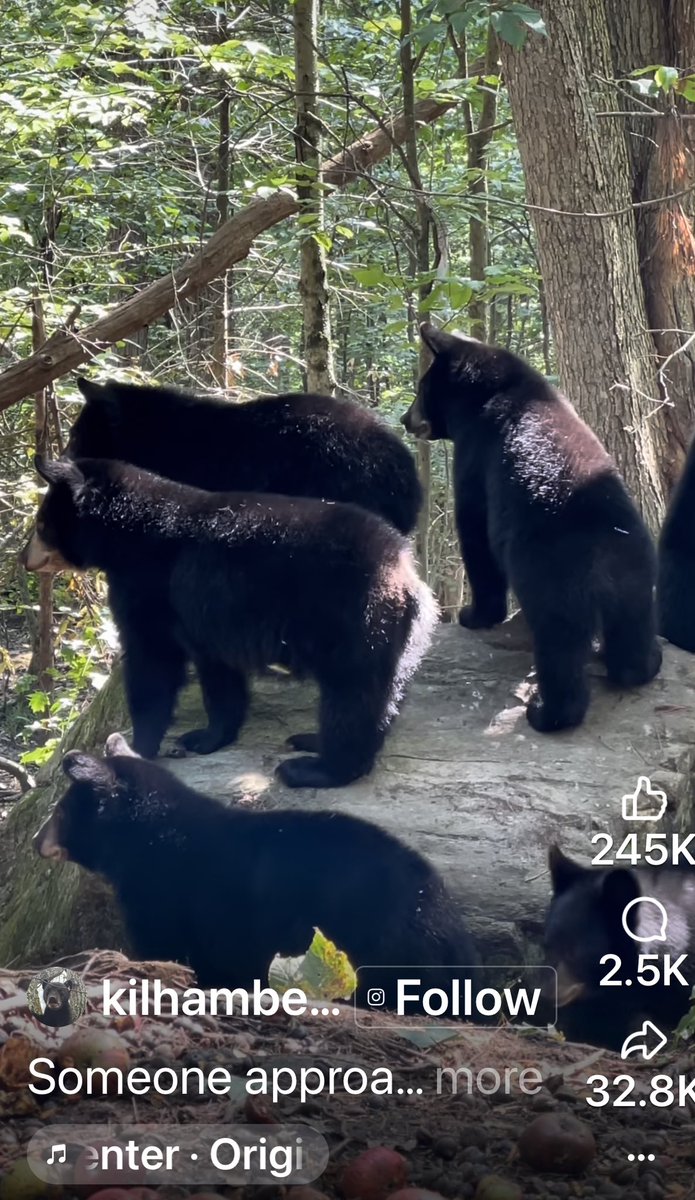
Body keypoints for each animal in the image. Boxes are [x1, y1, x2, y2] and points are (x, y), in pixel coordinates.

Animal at [24, 457, 438, 788]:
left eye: (41, 523)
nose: (23, 559)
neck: (126, 533)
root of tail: (404, 573)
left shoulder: (151, 584)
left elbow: (152, 661)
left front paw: (136, 746)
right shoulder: (208, 615)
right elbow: (218, 674)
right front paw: (204, 738)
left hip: (350, 618)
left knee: (351, 694)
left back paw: (312, 768)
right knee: (381, 696)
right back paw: (312, 740)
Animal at [33, 735, 479, 1008]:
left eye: (59, 811)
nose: (36, 839)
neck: (147, 839)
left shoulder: (167, 896)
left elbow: (167, 950)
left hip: (380, 945)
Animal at [401, 324, 662, 733]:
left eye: (421, 387)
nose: (404, 418)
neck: (495, 390)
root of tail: (605, 543)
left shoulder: (476, 454)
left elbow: (476, 530)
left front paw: (474, 615)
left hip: (552, 577)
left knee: (559, 644)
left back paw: (545, 712)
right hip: (637, 576)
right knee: (632, 632)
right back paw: (646, 663)